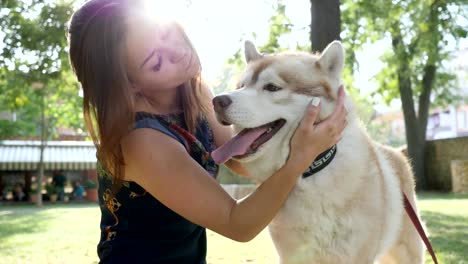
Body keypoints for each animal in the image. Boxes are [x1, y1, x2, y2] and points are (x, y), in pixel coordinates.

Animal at [211, 41, 424, 264]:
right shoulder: (293, 256)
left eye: (272, 87)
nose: (217, 101)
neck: (310, 173)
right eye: (241, 86)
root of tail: (395, 152)